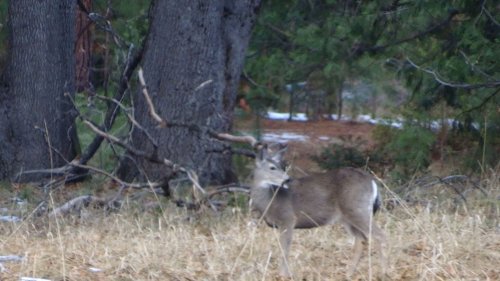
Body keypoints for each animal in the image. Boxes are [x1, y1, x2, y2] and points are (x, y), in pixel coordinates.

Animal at [250, 143, 386, 276]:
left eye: (282, 167)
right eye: (272, 167)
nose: (288, 179)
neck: (270, 200)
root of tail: (372, 182)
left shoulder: (288, 219)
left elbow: (285, 248)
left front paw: (284, 275)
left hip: (358, 209)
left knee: (379, 235)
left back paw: (383, 271)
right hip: (347, 217)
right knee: (361, 240)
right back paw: (349, 274)